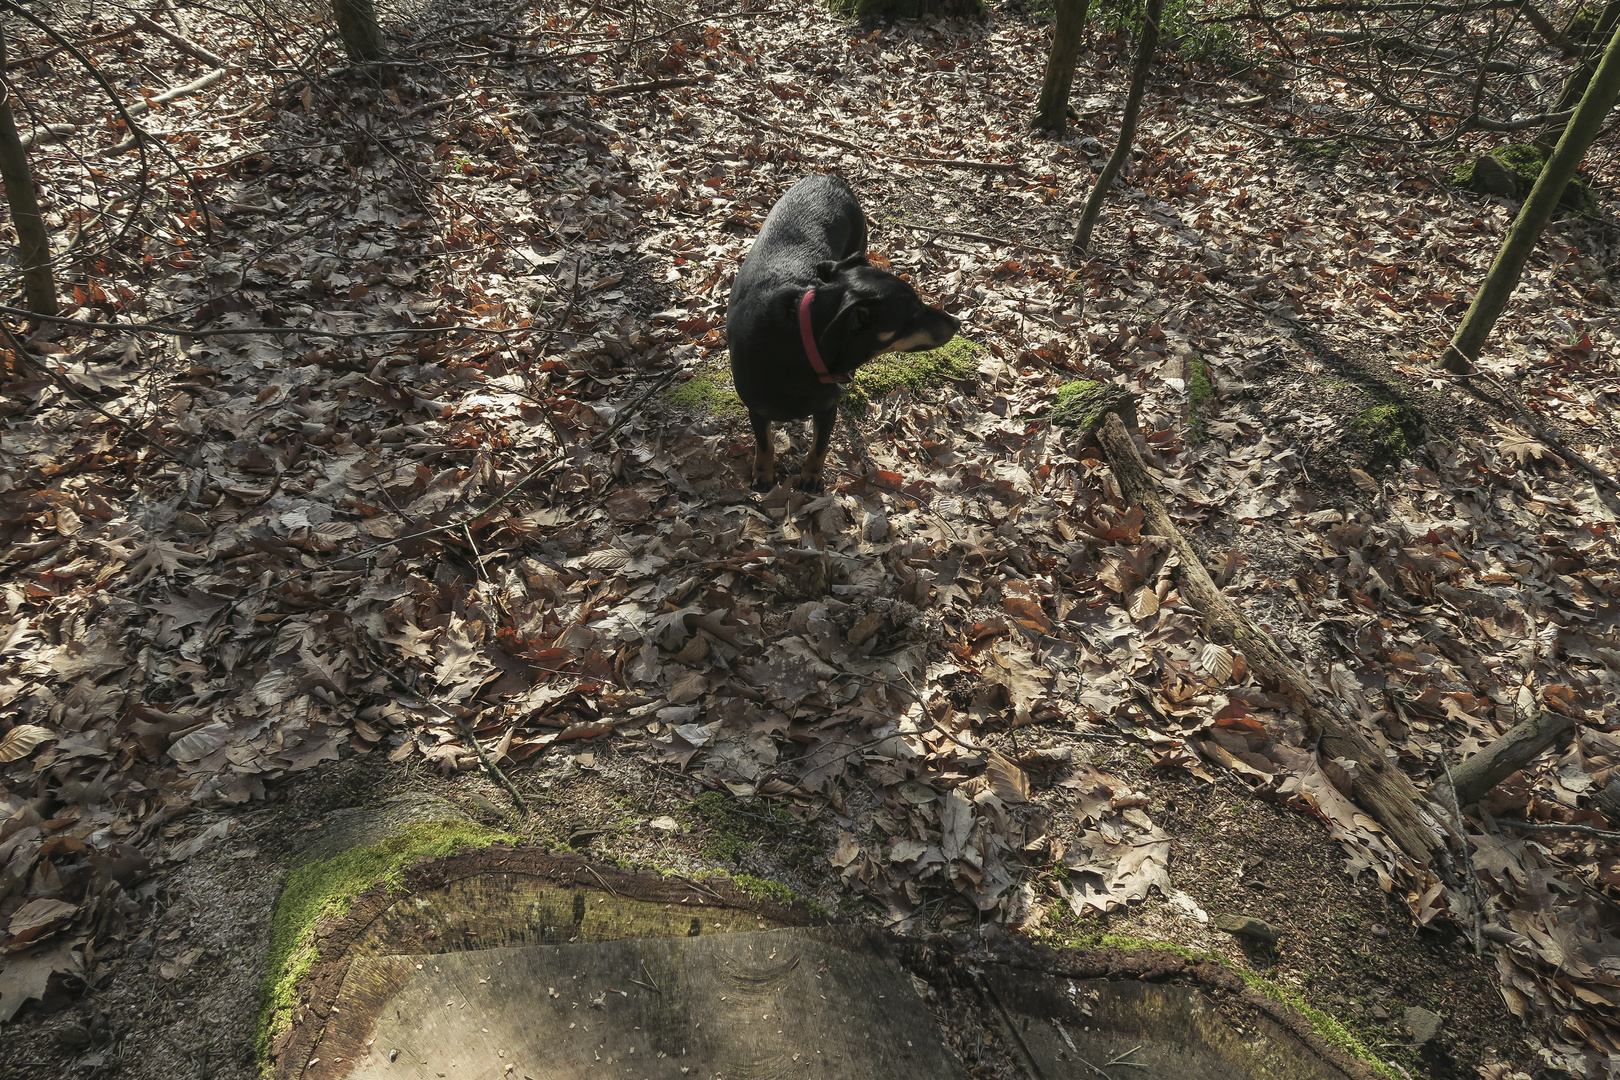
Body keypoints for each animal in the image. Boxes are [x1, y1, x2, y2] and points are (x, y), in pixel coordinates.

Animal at [725, 174, 959, 495]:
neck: (800, 344)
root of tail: (827, 177)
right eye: (912, 313)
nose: (957, 322)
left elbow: (819, 447)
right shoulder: (757, 409)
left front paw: (811, 477)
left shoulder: (827, 408)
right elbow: (765, 444)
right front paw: (763, 473)